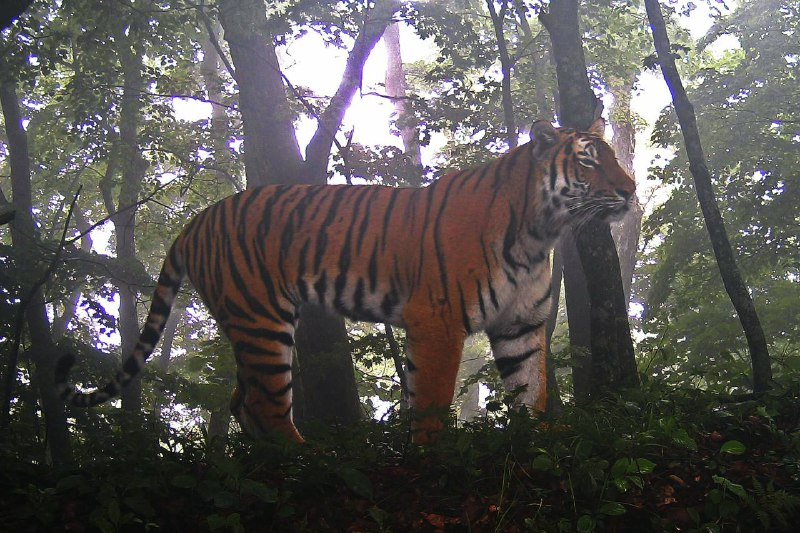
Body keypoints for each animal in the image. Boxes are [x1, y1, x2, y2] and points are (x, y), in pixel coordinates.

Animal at [53, 117, 636, 444]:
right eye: (590, 161)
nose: (630, 191)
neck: (542, 233)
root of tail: (195, 220)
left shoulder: (521, 326)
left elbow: (531, 394)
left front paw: (546, 450)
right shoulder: (438, 320)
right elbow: (431, 403)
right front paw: (430, 461)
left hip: (246, 325)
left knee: (243, 402)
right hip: (263, 321)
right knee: (265, 404)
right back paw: (306, 463)